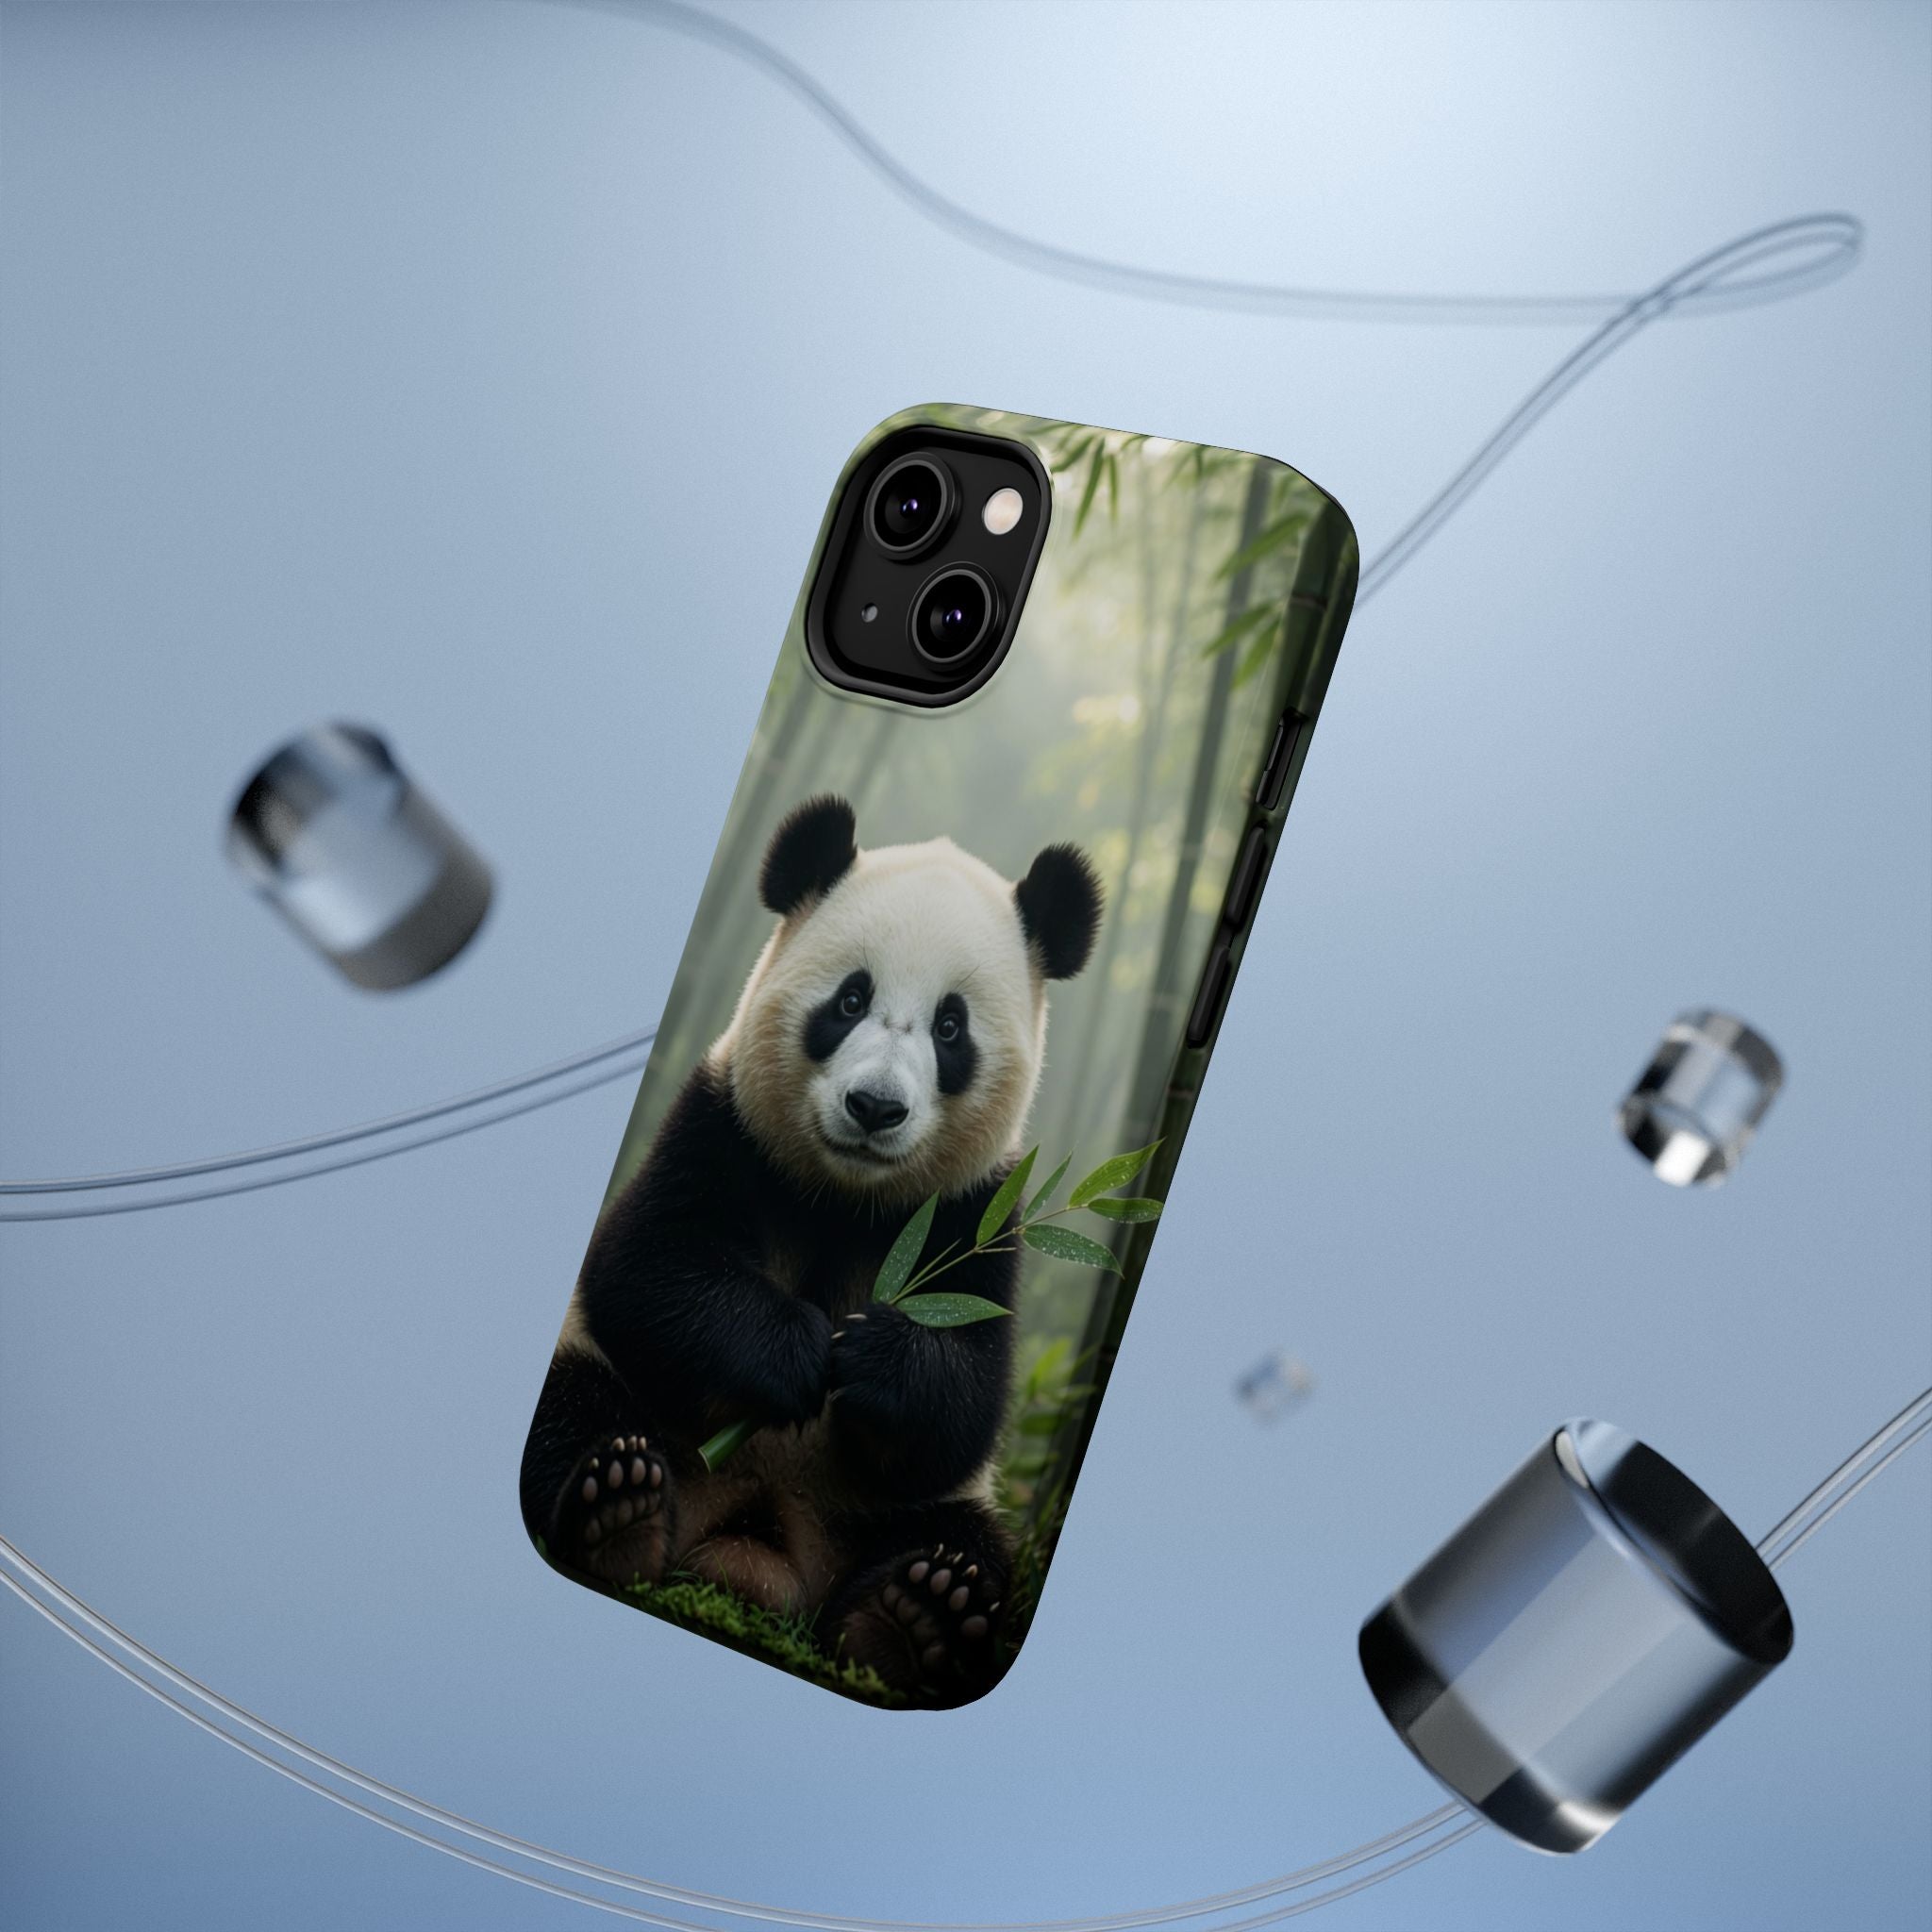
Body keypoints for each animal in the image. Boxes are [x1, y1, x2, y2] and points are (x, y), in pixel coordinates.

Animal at [520, 793, 1102, 1706]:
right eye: (851, 999)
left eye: (951, 1027)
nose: (875, 1107)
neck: (848, 1197)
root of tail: (754, 1549)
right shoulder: (722, 1124)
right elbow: (644, 1267)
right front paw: (791, 1349)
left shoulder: (980, 1212)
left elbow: (969, 1401)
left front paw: (872, 1357)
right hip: (627, 1404)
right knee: (574, 1405)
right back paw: (620, 1511)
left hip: (891, 1515)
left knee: (971, 1546)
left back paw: (915, 1617)